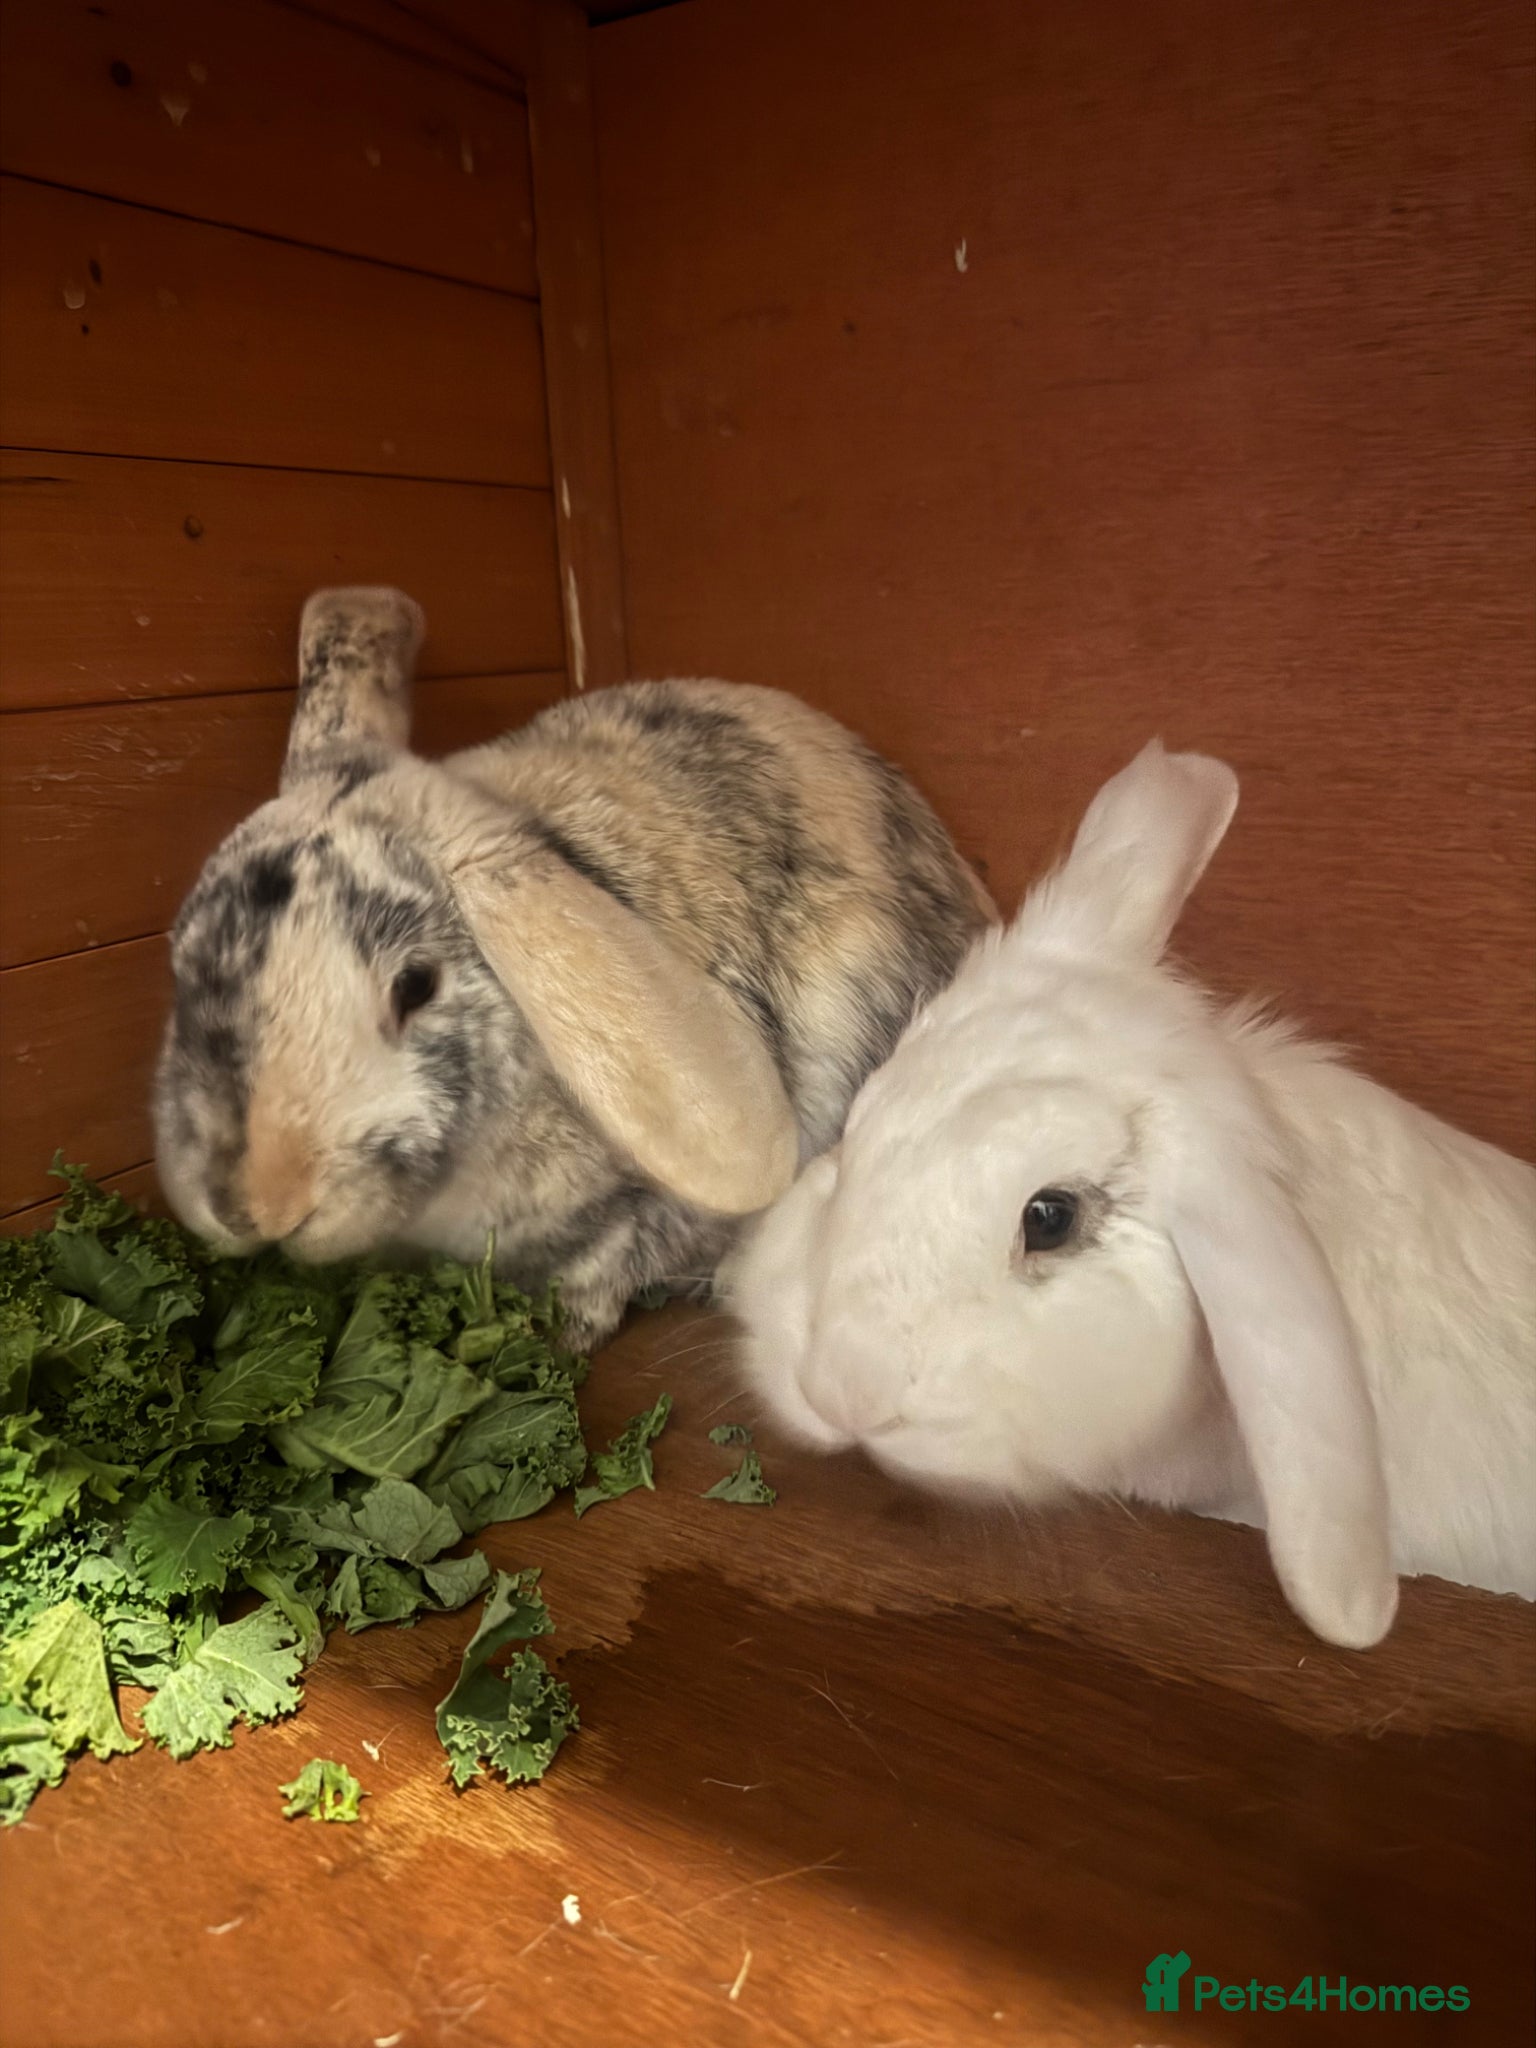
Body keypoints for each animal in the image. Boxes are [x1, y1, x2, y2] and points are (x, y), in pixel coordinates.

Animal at [154, 587, 996, 1350]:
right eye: (180, 962)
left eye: (414, 985)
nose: (258, 1207)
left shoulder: (655, 1210)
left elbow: (610, 1265)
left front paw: (563, 1334)